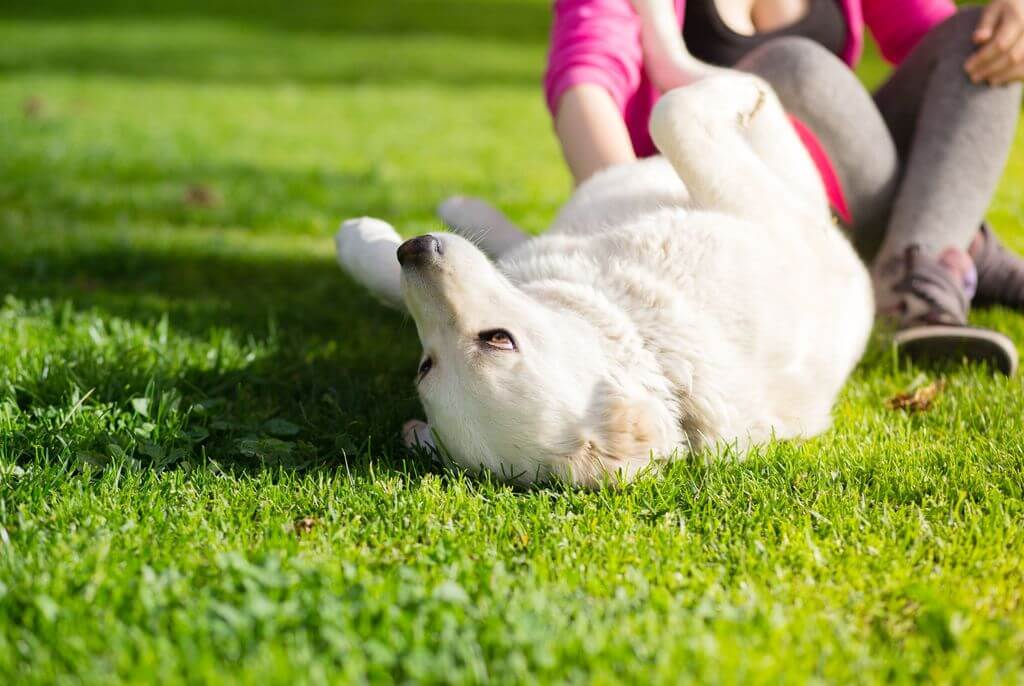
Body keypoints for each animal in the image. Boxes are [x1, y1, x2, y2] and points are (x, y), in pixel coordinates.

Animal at [335, 75, 872, 489]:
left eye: (497, 339)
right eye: (426, 365)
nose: (415, 248)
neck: (643, 331)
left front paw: (359, 238)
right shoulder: (772, 215)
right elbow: (673, 114)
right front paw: (746, 91)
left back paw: (464, 208)